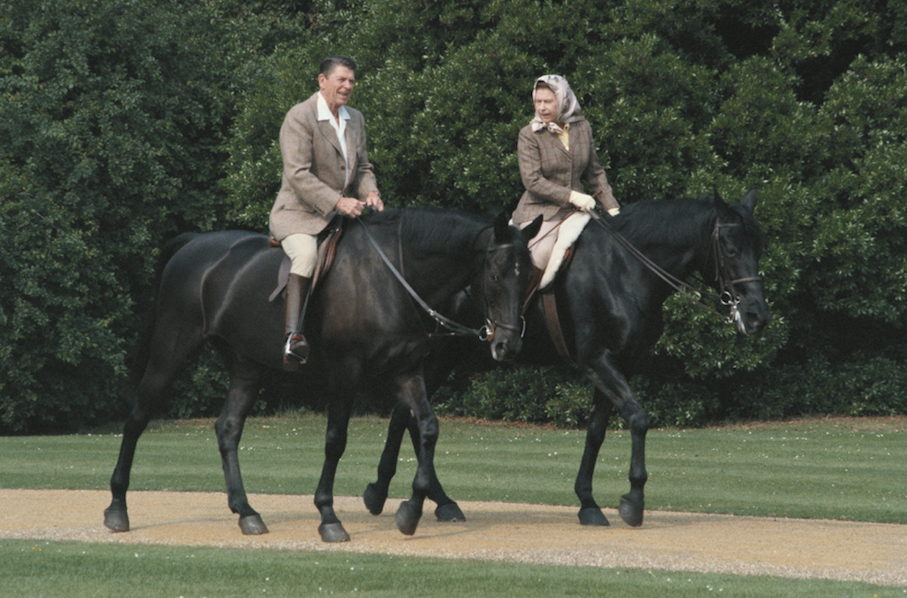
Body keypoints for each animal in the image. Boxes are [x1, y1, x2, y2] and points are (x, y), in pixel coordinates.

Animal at [103, 209, 544, 548]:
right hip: (171, 352)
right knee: (136, 418)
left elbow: (428, 429)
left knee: (227, 428)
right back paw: (117, 507)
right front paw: (328, 515)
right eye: (495, 275)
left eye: (529, 277)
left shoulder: (406, 370)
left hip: (246, 366)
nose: (508, 344)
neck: (393, 277)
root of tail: (195, 243)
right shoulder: (345, 372)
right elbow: (336, 440)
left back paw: (246, 511)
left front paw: (411, 510)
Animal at [364, 191, 772, 528]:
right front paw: (634, 500)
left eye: (759, 246)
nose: (756, 316)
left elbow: (597, 431)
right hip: (437, 356)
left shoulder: (620, 364)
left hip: (448, 356)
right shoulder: (597, 361)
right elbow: (638, 418)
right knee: (406, 416)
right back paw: (389, 492)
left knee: (408, 416)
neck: (624, 268)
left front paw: (588, 502)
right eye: (730, 249)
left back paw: (435, 499)